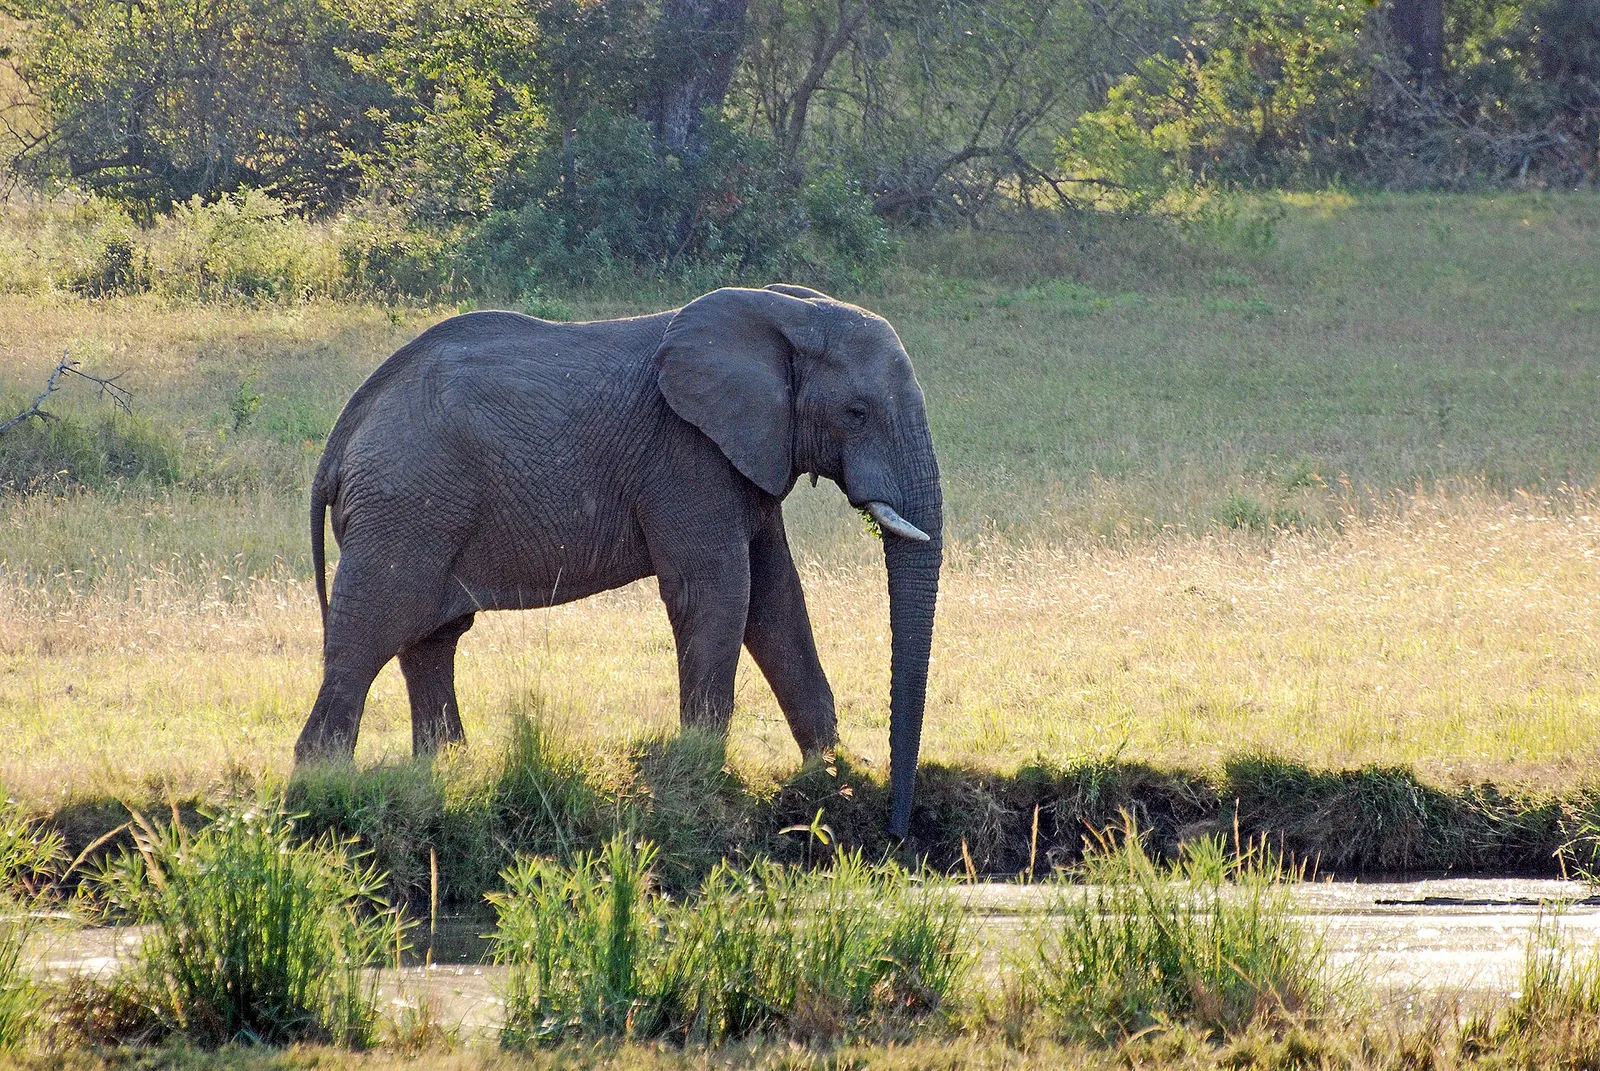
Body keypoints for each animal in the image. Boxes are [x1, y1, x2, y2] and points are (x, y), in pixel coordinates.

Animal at [294, 284, 943, 836]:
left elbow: (776, 601)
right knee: (367, 637)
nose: (897, 830)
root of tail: (340, 438)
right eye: (857, 412)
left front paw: (831, 775)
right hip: (404, 511)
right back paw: (322, 790)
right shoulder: (686, 454)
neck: (787, 312)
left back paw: (448, 774)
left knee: (430, 641)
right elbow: (718, 592)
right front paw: (702, 773)